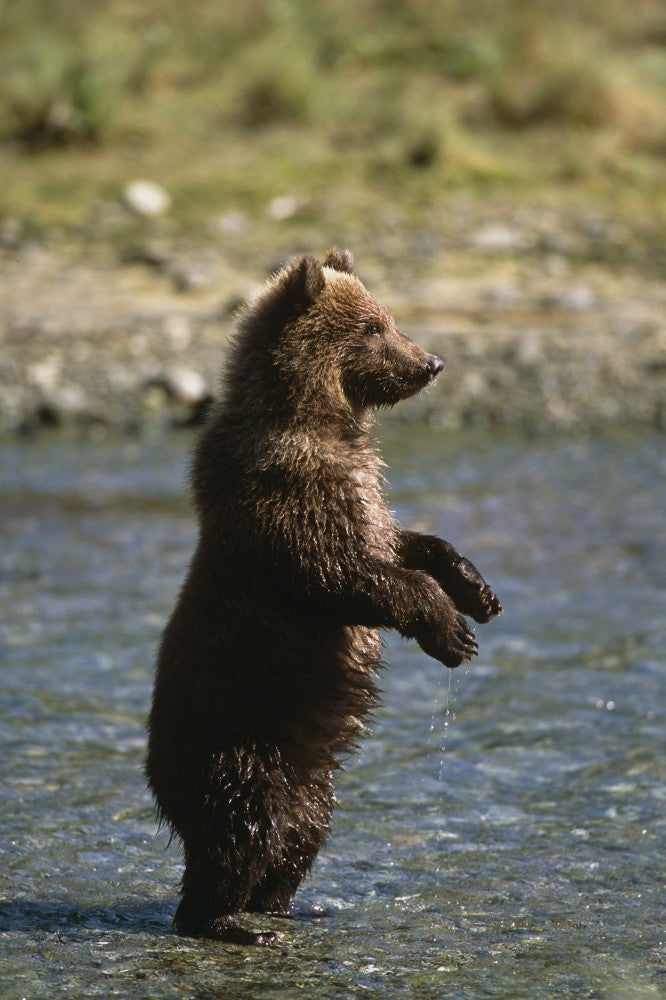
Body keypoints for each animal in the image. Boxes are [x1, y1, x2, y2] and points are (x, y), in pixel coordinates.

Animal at [145, 248, 501, 946]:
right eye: (373, 327)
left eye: (387, 316)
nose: (431, 362)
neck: (321, 421)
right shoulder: (286, 498)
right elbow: (342, 574)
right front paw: (453, 633)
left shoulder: (362, 491)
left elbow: (402, 543)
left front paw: (478, 591)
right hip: (238, 735)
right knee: (239, 828)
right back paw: (226, 919)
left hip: (311, 782)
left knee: (298, 837)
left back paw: (284, 906)